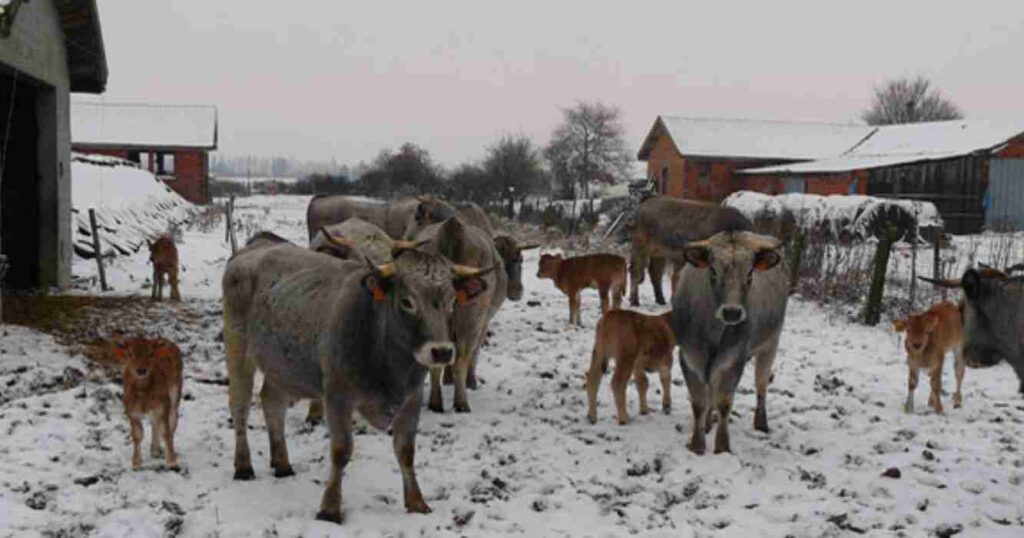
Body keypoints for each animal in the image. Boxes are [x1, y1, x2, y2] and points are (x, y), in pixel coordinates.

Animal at [117, 336, 185, 469]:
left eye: (151, 353)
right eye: (129, 354)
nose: (141, 370)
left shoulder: (164, 403)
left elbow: (166, 431)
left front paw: (172, 460)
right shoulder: (130, 409)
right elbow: (137, 434)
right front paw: (136, 462)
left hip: (175, 395)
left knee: (172, 421)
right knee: (155, 422)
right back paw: (154, 450)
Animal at [415, 216, 507, 409]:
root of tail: (452, 226)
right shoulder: (482, 322)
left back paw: (436, 402)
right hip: (472, 316)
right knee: (464, 356)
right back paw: (461, 402)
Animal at [667, 229, 786, 452]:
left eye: (749, 274)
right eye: (713, 272)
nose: (732, 312)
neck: (712, 332)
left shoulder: (734, 358)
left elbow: (724, 402)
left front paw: (722, 447)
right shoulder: (688, 356)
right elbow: (699, 402)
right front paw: (697, 444)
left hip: (771, 344)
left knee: (761, 383)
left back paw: (761, 422)